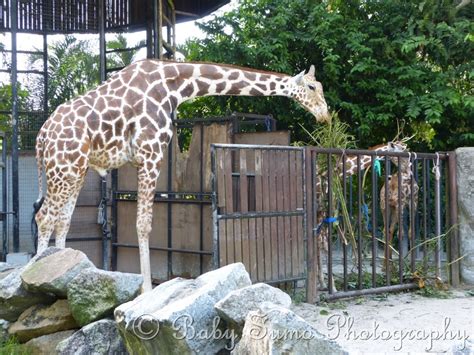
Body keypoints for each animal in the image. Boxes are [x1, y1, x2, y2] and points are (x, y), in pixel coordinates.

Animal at [32, 59, 330, 292]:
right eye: (312, 87)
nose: (325, 116)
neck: (175, 84)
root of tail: (41, 137)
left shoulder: (145, 158)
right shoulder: (151, 154)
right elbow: (143, 224)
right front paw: (147, 290)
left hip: (76, 171)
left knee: (62, 221)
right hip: (63, 170)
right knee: (44, 217)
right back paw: (34, 279)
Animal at [314, 140, 408, 294]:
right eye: (402, 149)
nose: (407, 166)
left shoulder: (320, 212)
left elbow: (319, 243)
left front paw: (322, 284)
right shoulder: (324, 210)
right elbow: (324, 244)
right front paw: (332, 287)